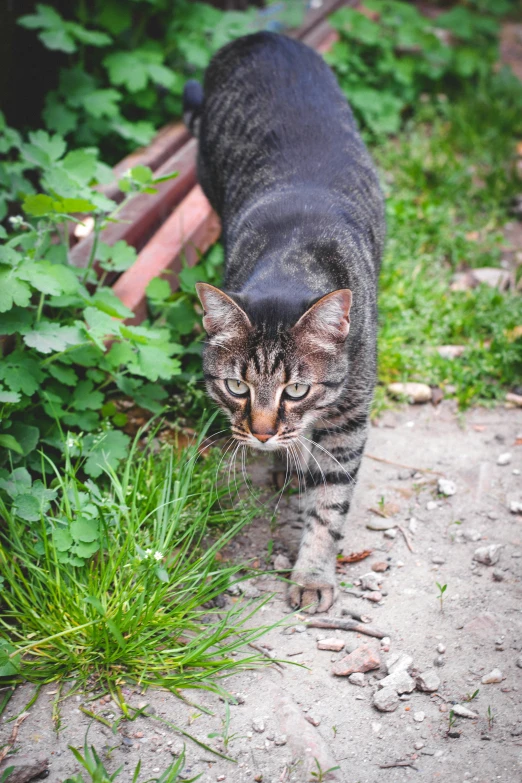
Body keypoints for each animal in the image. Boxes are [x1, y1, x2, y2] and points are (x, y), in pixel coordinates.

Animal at [183, 33, 382, 616]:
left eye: (296, 389)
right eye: (235, 387)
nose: (263, 433)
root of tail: (259, 37)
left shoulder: (348, 420)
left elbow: (330, 502)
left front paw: (313, 573)